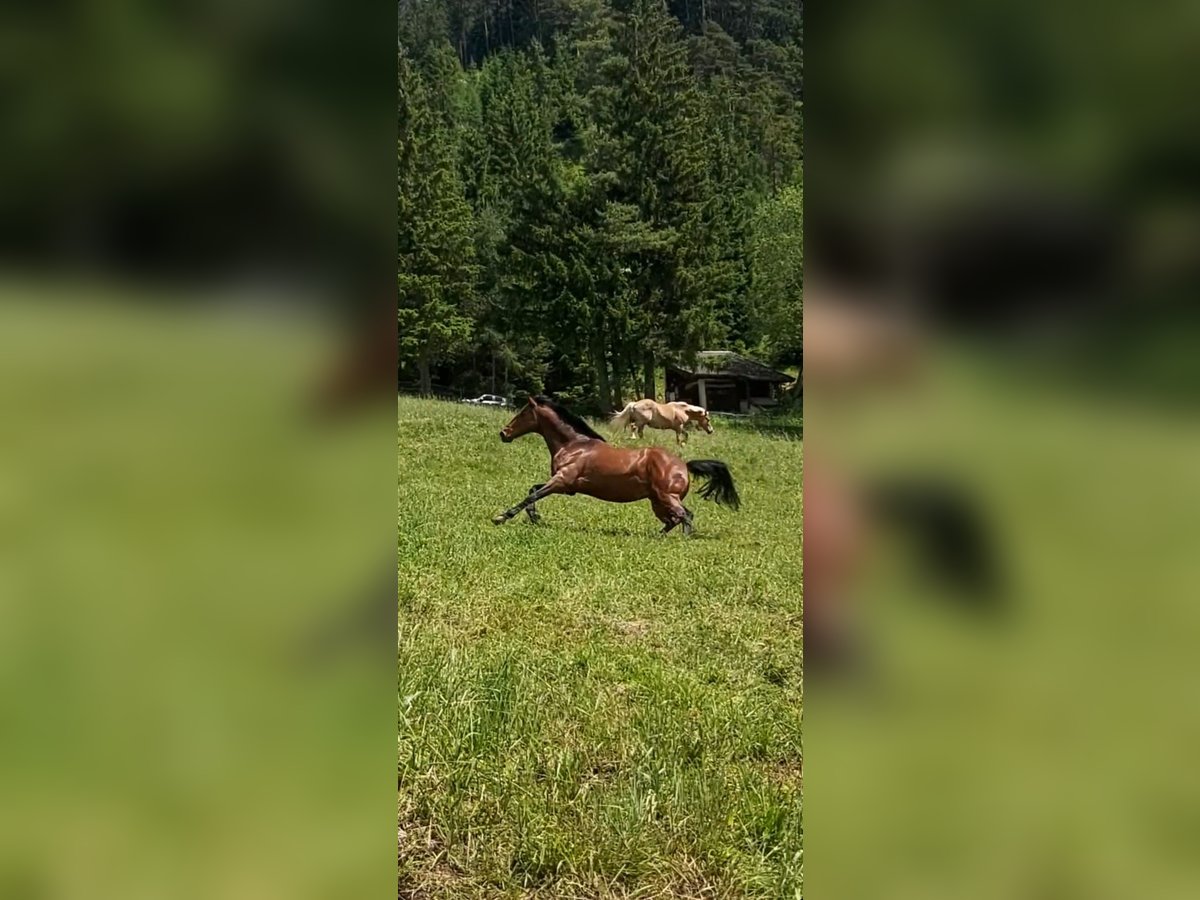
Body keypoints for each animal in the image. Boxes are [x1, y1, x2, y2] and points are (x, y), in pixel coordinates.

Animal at [492, 396, 734, 535]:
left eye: (523, 413)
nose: (504, 433)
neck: (575, 445)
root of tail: (683, 464)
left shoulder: (561, 481)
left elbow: (532, 495)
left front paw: (501, 517)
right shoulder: (566, 486)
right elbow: (532, 490)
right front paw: (535, 517)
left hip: (667, 498)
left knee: (686, 516)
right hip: (657, 502)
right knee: (673, 520)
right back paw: (656, 538)